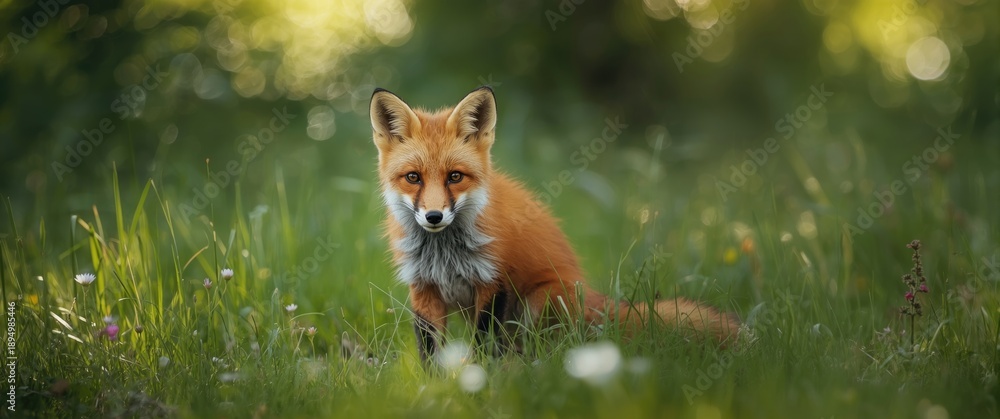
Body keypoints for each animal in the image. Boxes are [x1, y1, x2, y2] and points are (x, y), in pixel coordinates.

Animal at [369, 86, 739, 365]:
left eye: (455, 177)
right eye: (413, 178)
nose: (434, 216)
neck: (444, 253)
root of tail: (591, 296)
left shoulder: (493, 282)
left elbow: (483, 345)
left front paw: (481, 381)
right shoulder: (424, 289)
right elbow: (430, 352)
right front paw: (436, 388)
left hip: (539, 301)